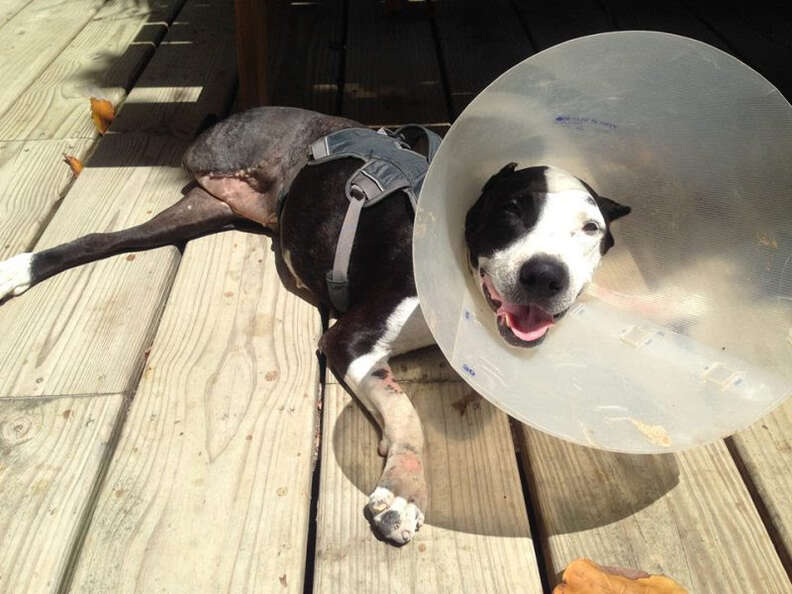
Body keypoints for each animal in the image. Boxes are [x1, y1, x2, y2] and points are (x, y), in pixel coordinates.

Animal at [0, 107, 632, 544]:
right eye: (511, 212)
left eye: (592, 230)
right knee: (101, 237)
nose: (544, 275)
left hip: (202, 210)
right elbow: (408, 412)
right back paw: (17, 269)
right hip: (210, 168)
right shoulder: (350, 338)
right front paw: (403, 494)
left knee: (111, 239)